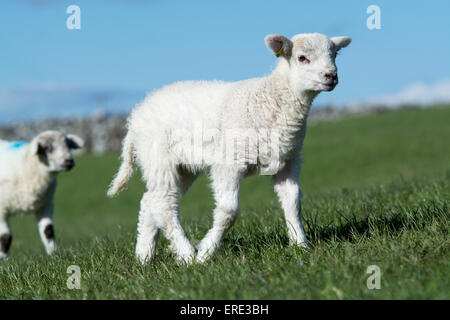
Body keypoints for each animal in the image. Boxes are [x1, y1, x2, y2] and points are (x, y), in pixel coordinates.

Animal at [0, 130, 84, 258]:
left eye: (68, 145)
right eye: (47, 148)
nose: (69, 162)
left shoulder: (45, 204)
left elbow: (48, 231)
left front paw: (53, 254)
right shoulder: (2, 208)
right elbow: (5, 238)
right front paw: (4, 259)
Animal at [108, 32, 352, 264]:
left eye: (335, 55)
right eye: (302, 58)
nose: (331, 76)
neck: (272, 98)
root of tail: (135, 117)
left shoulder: (288, 161)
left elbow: (293, 203)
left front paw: (301, 246)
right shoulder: (229, 163)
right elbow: (228, 212)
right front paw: (205, 252)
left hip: (182, 167)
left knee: (150, 201)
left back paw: (144, 257)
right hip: (158, 157)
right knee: (163, 204)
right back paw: (186, 255)